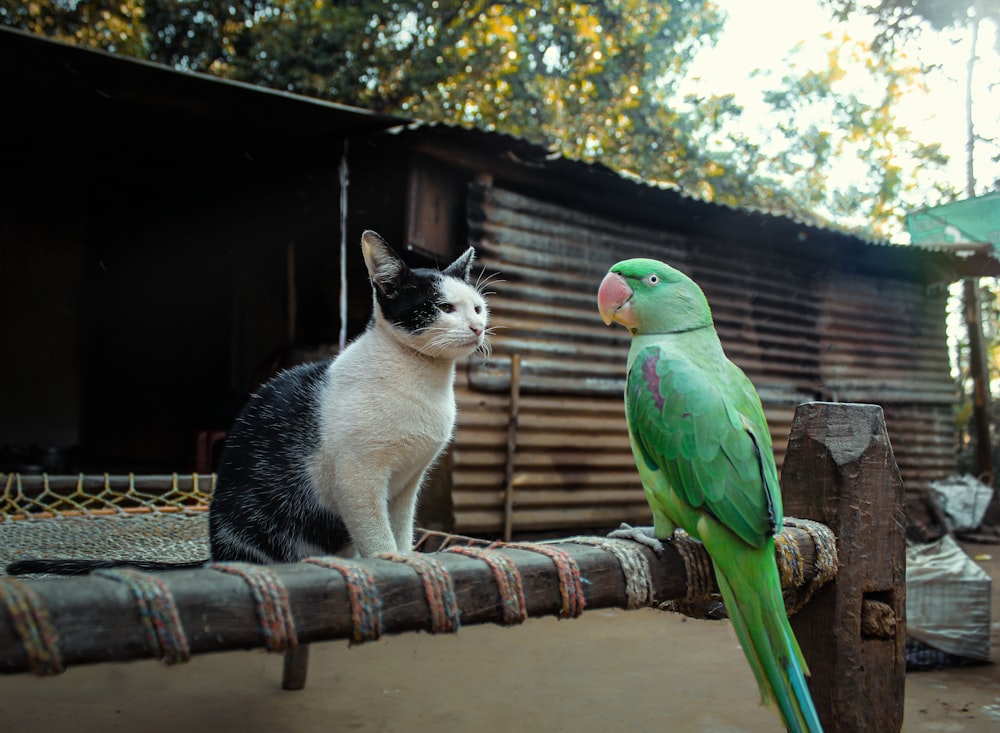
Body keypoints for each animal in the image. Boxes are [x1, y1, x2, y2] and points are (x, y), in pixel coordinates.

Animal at [6, 232, 492, 576]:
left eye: (478, 307)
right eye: (442, 307)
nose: (477, 328)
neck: (425, 382)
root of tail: (215, 552)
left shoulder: (408, 483)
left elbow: (402, 527)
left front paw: (409, 555)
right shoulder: (358, 478)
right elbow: (376, 534)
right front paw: (391, 562)